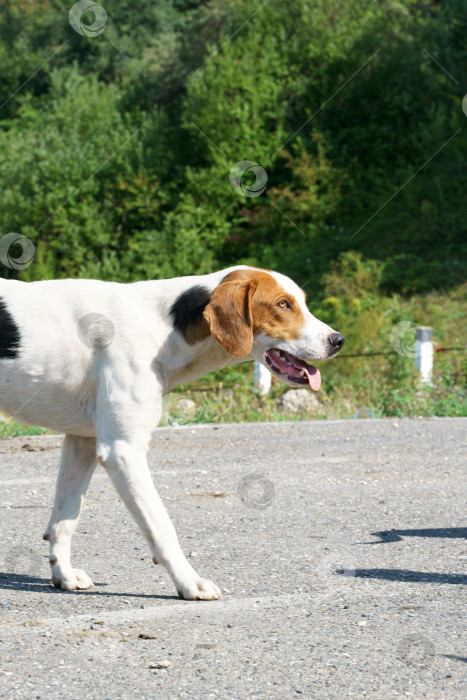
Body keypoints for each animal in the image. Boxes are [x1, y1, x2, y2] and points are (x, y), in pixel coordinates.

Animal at [0, 266, 344, 600]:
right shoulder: (123, 451)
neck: (163, 327)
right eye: (283, 305)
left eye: (302, 303)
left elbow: (66, 517)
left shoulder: (82, 441)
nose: (338, 340)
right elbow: (162, 526)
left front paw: (64, 574)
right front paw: (189, 582)